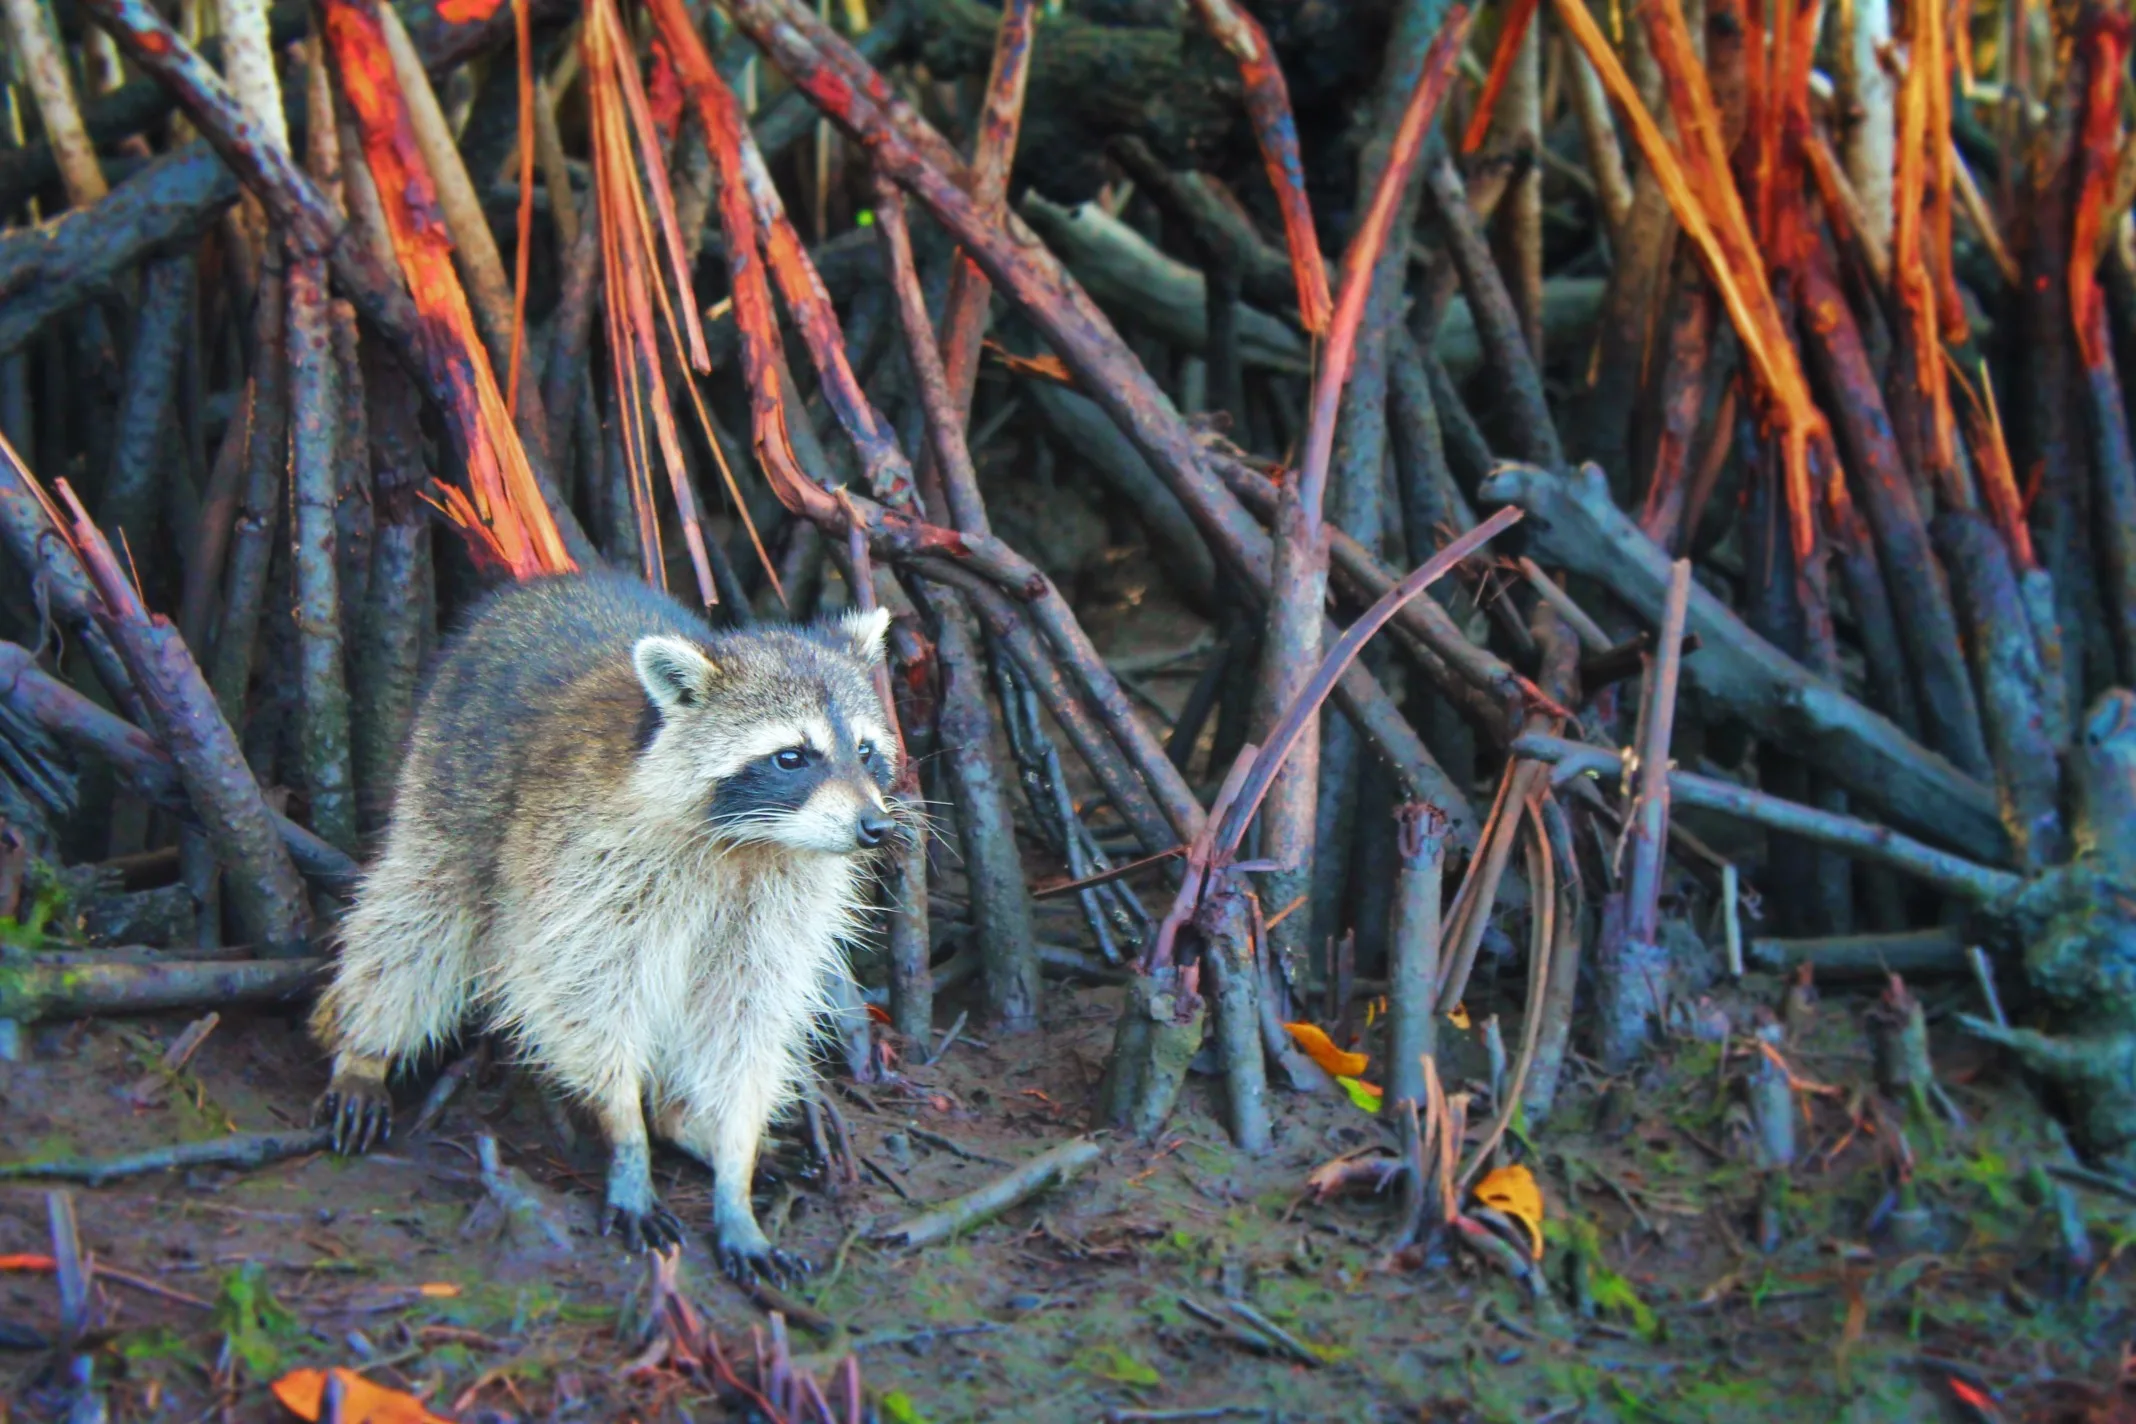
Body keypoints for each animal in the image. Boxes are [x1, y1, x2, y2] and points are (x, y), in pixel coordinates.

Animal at [309, 567, 892, 1280]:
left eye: (865, 750)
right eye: (792, 757)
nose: (876, 826)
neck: (749, 844)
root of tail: (549, 582)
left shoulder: (777, 908)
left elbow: (743, 1021)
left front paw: (733, 1161)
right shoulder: (586, 868)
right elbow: (585, 999)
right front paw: (627, 1135)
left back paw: (678, 1119)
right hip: (447, 782)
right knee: (417, 917)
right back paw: (365, 1045)